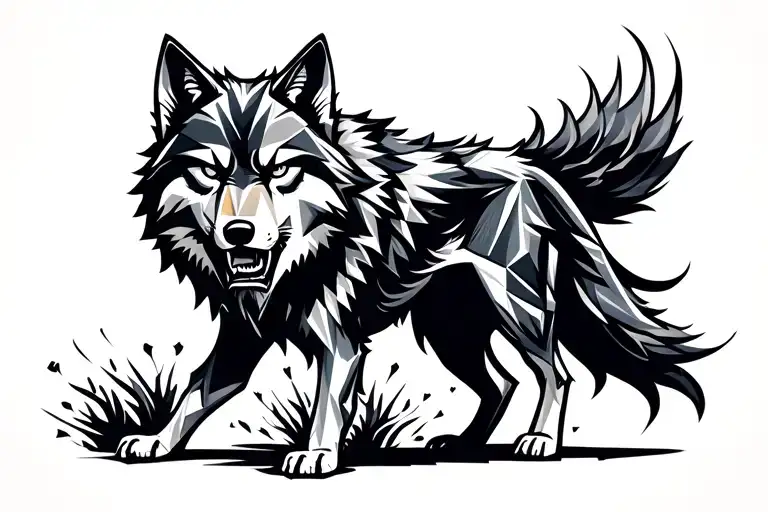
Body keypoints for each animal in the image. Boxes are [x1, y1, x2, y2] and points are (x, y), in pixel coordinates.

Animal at [119, 30, 728, 475]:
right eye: (208, 172)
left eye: (282, 171)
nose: (238, 233)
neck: (303, 257)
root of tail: (528, 167)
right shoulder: (241, 337)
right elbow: (196, 391)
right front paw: (156, 440)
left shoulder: (340, 341)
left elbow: (325, 400)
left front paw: (317, 453)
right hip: (450, 328)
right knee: (502, 383)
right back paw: (465, 443)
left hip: (518, 308)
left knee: (554, 372)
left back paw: (538, 440)